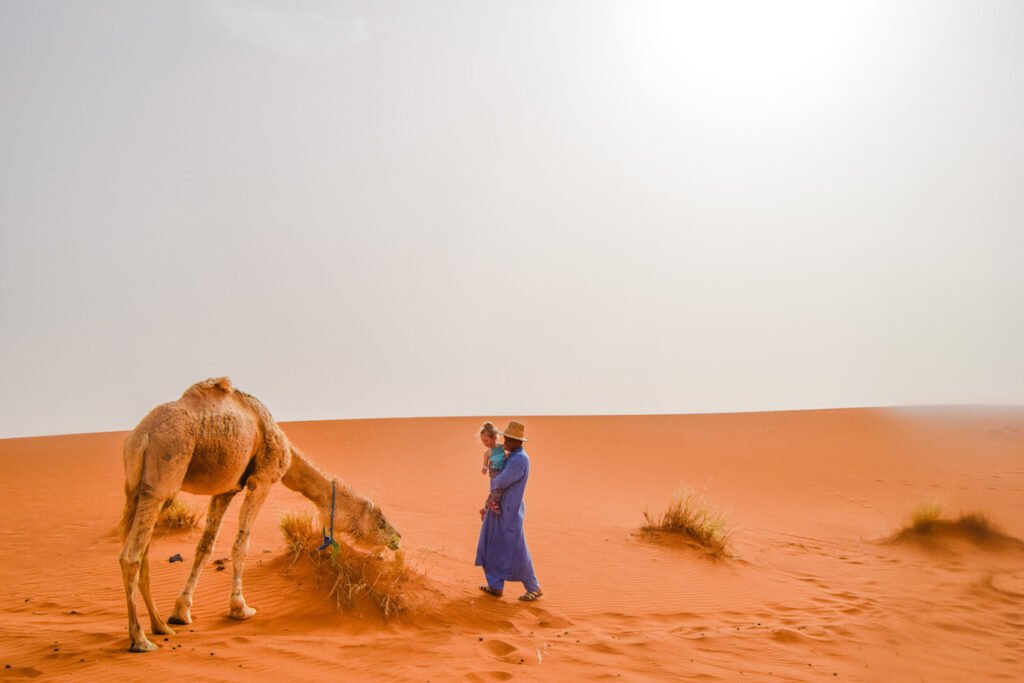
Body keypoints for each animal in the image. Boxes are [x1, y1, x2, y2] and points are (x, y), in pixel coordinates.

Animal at [117, 378, 401, 651]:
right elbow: (241, 544)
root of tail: (142, 435)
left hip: (137, 489)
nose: (397, 538)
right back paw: (140, 640)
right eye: (381, 522)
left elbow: (204, 547)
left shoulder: (226, 489)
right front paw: (240, 609)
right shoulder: (262, 479)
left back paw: (161, 626)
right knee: (131, 556)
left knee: (142, 555)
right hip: (163, 477)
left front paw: (181, 611)